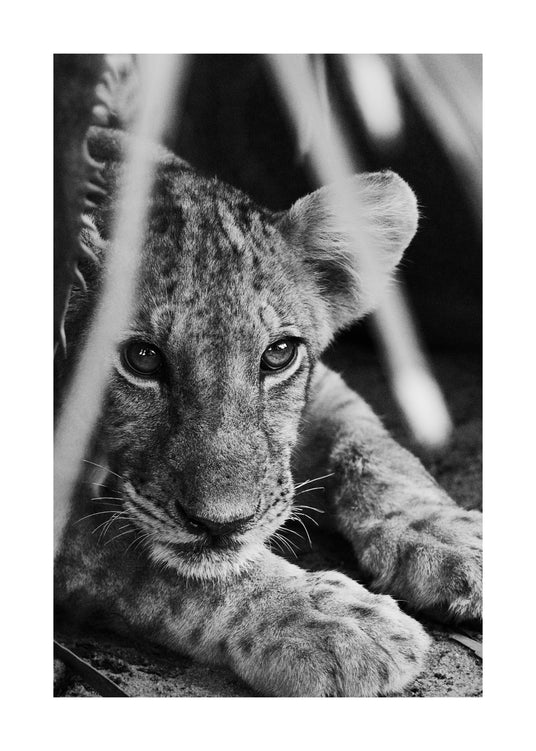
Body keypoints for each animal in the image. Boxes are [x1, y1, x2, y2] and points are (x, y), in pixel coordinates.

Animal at [54, 126, 482, 697]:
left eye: (278, 354)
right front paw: (333, 621)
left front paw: (458, 539)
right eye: (141, 357)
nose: (224, 524)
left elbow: (375, 452)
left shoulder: (327, 387)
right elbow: (148, 564)